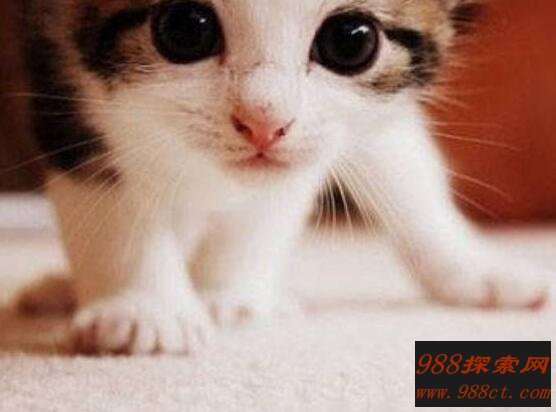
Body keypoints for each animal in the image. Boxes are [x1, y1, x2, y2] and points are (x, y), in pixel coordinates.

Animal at [21, 0, 549, 355]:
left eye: (351, 41)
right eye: (185, 29)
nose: (263, 122)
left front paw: (228, 294)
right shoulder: (51, 61)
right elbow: (103, 182)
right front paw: (143, 309)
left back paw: (476, 270)